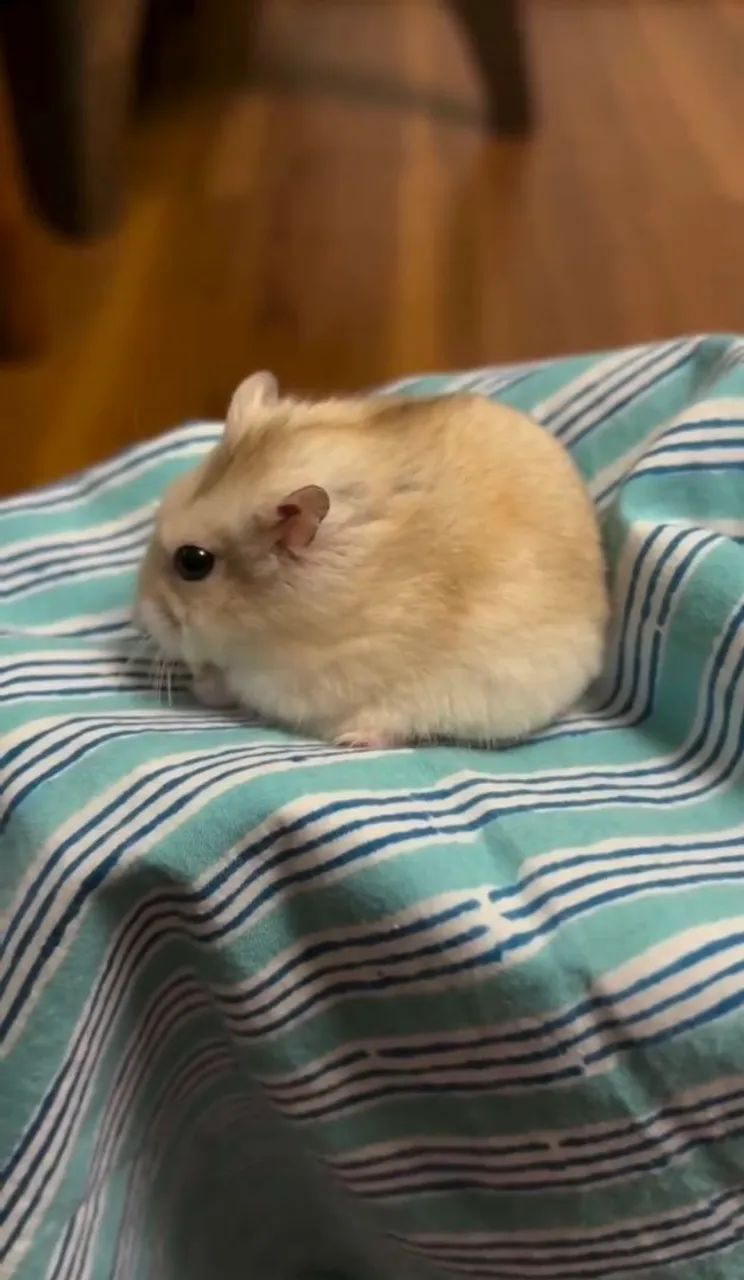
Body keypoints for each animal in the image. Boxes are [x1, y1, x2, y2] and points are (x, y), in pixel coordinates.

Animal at [135, 371, 608, 748]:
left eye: (192, 562)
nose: (140, 613)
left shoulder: (290, 680)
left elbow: (234, 682)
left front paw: (202, 684)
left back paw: (353, 737)